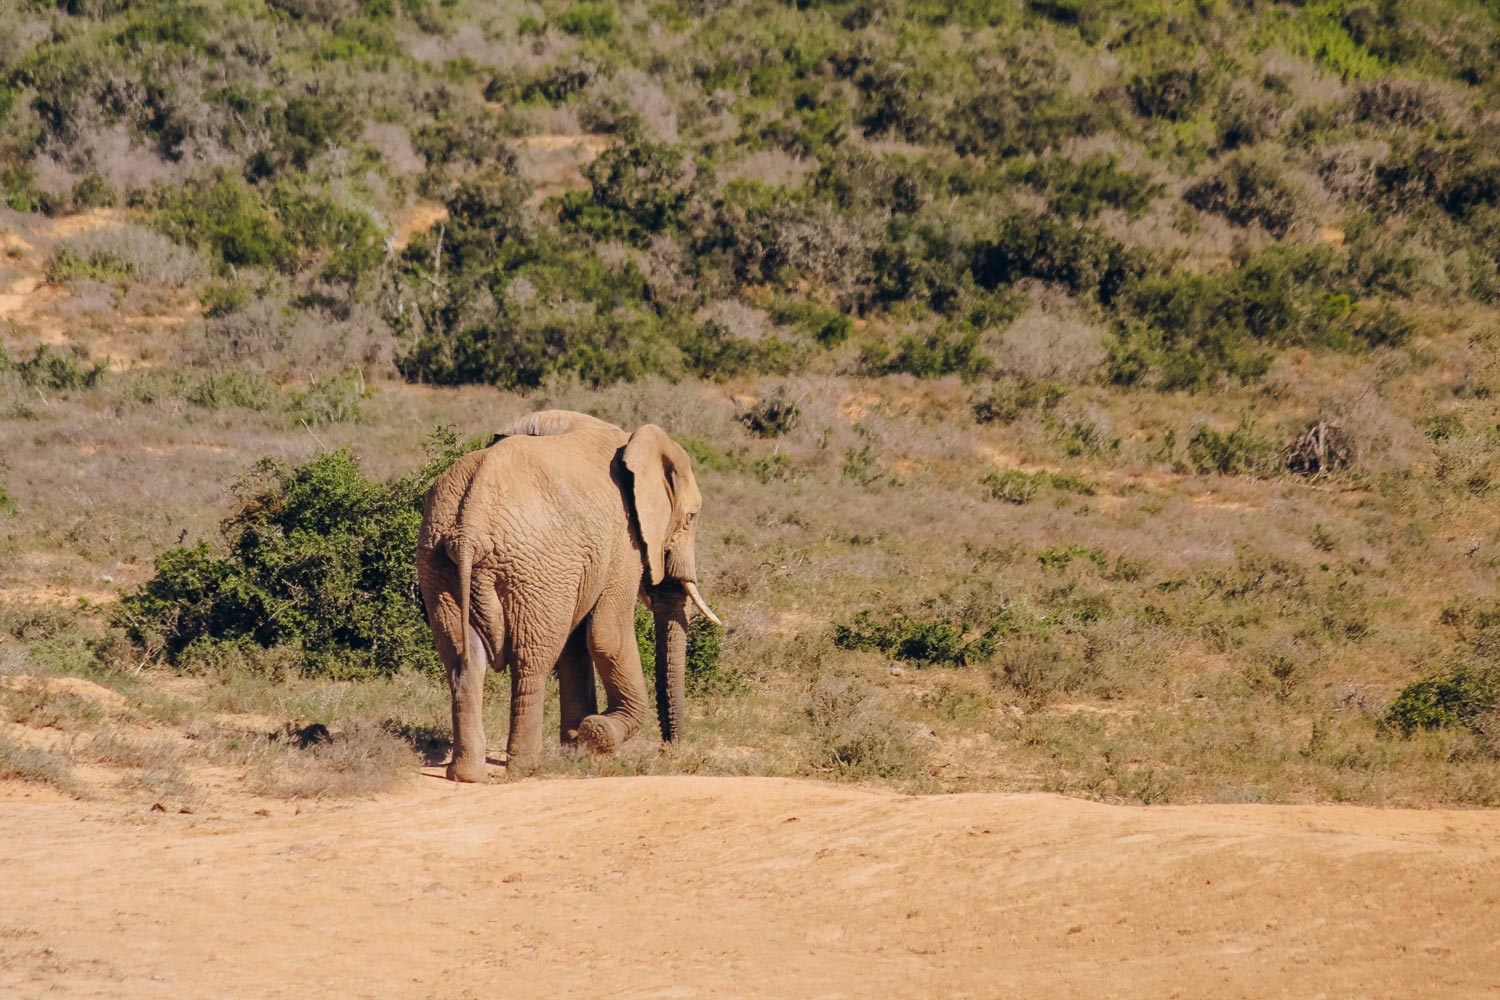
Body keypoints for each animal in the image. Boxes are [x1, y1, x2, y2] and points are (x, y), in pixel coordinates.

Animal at [417, 407, 720, 779]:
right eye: (690, 518)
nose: (670, 751)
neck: (634, 441)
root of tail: (470, 523)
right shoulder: (624, 541)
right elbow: (606, 636)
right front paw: (595, 734)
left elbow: (577, 644)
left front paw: (577, 749)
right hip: (534, 567)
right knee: (532, 660)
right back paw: (525, 768)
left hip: (438, 563)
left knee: (463, 661)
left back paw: (467, 775)